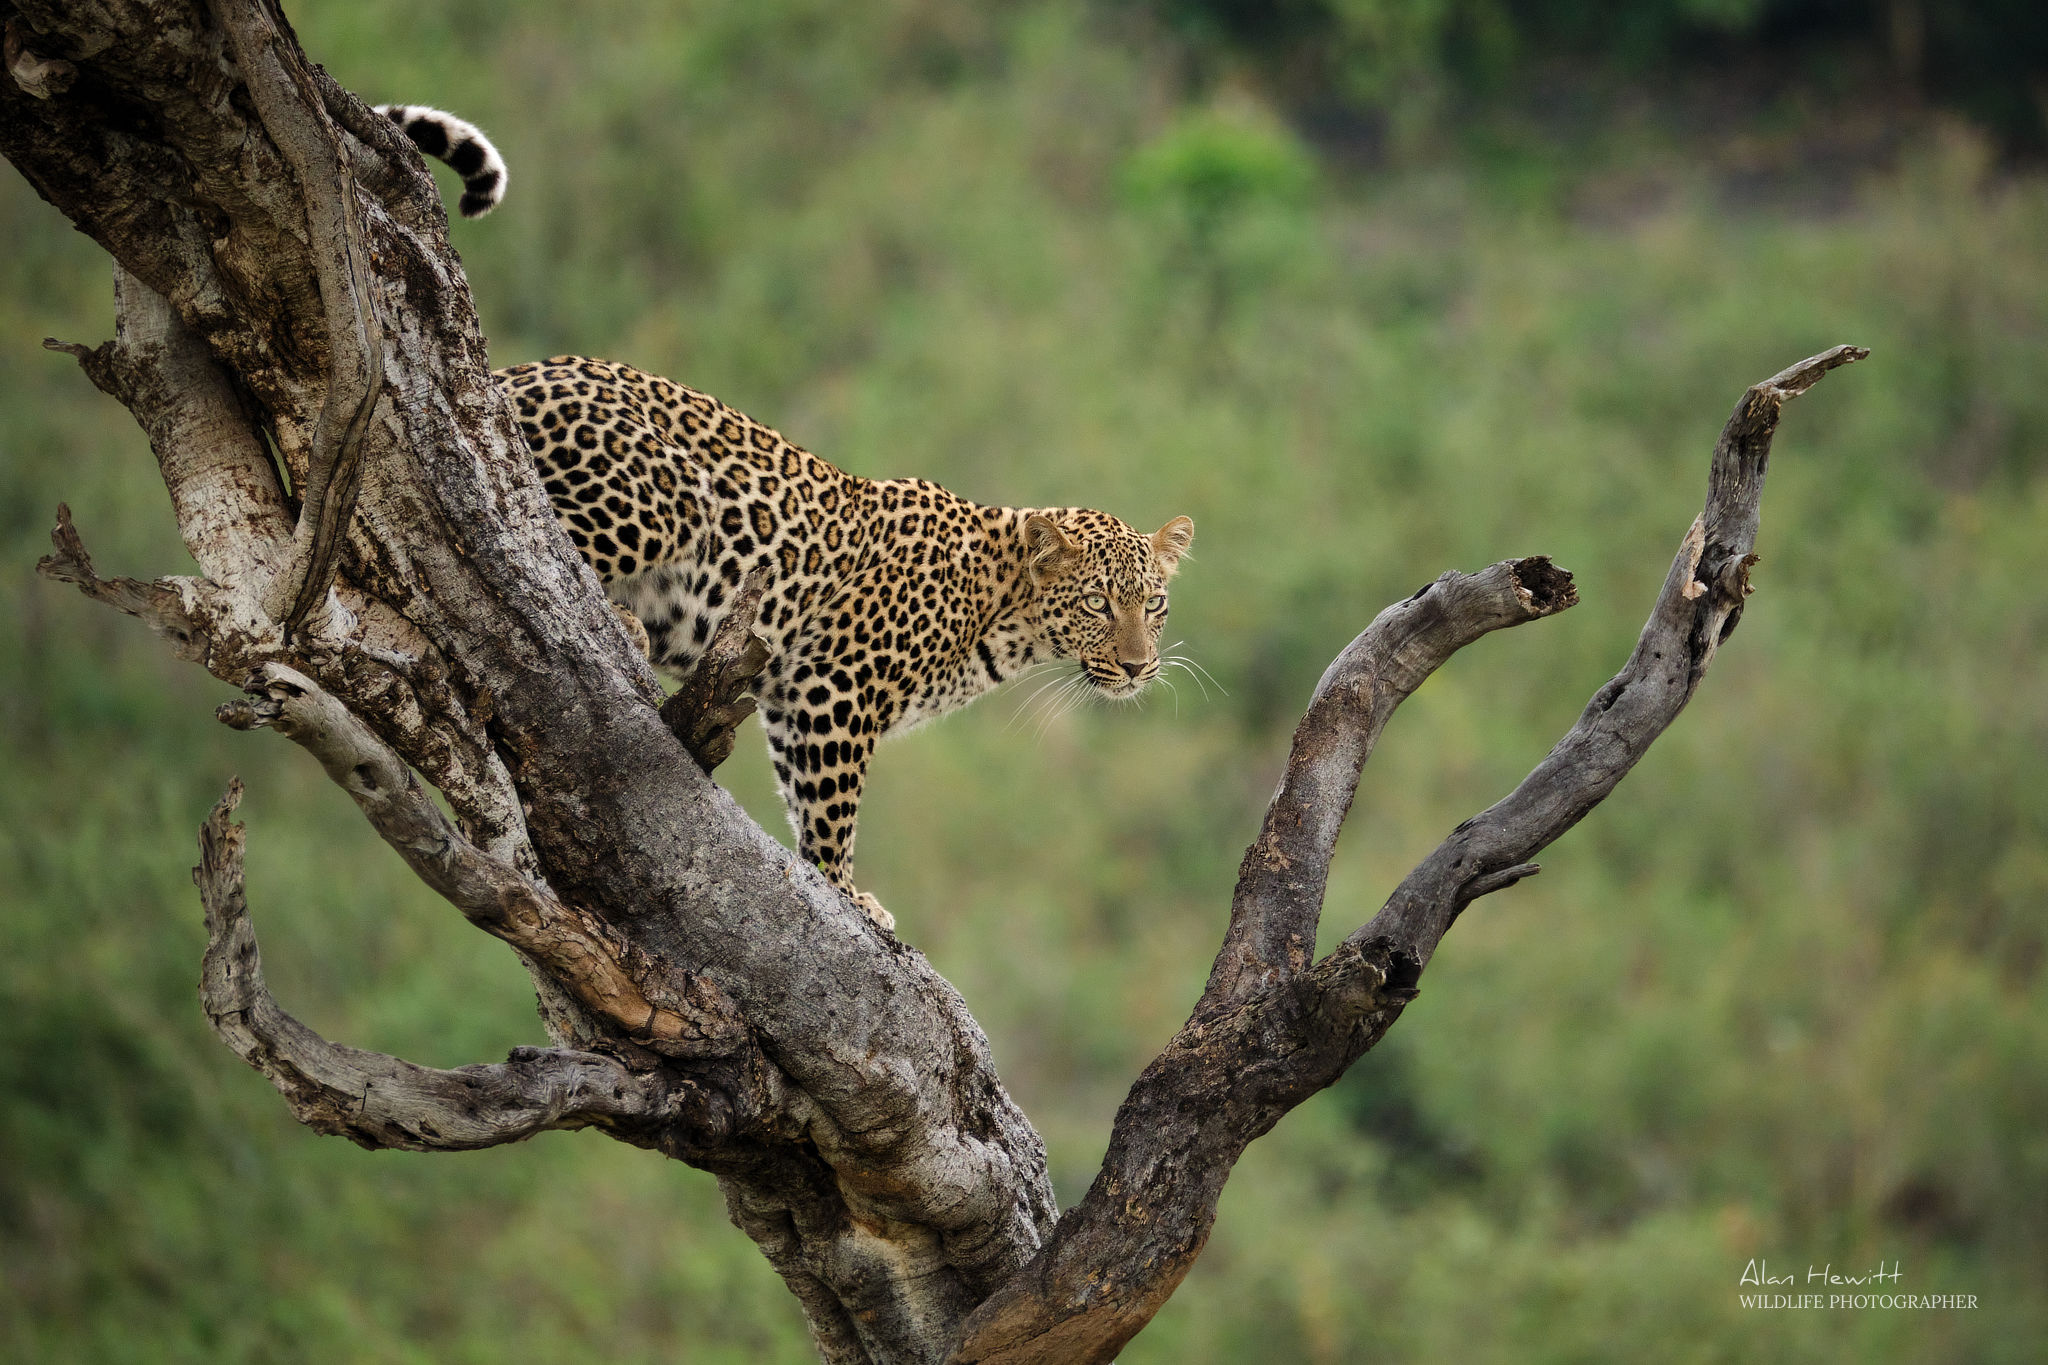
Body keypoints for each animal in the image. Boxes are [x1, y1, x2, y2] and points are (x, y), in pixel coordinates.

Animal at [380, 104, 1196, 929]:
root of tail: (513, 370)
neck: (1001, 612)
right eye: (1098, 604)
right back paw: (627, 620)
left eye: (1154, 605)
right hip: (668, 494)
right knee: (533, 526)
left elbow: (804, 794)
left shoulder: (785, 694)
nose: (1141, 666)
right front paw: (845, 891)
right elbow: (834, 807)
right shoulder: (839, 684)